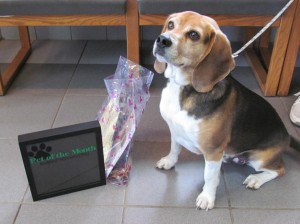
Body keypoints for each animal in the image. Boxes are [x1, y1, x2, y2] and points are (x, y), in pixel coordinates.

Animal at [154, 11, 298, 211]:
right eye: (170, 25)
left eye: (194, 35)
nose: (162, 40)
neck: (183, 88)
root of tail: (287, 135)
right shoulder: (175, 131)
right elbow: (174, 149)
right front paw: (169, 161)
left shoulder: (213, 150)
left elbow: (209, 177)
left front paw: (207, 197)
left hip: (259, 157)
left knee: (279, 169)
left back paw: (256, 179)